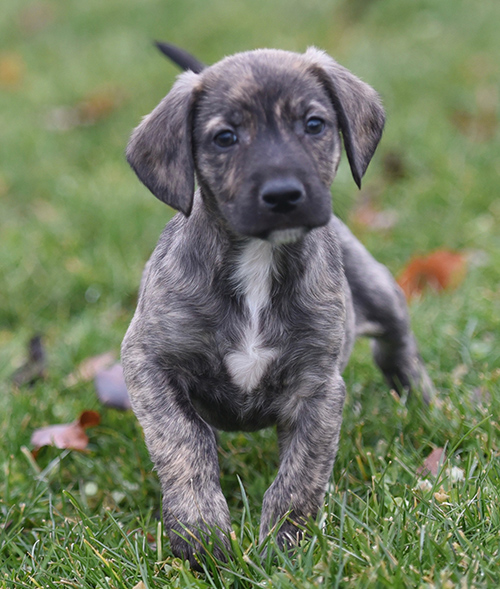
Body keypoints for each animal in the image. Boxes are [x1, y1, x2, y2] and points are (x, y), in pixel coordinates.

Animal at [122, 47, 434, 568]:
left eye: (314, 124)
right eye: (225, 137)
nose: (284, 194)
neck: (258, 263)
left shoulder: (318, 390)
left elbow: (300, 477)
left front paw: (284, 546)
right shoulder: (147, 361)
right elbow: (184, 441)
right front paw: (201, 535)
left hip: (379, 289)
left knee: (397, 345)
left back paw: (425, 403)